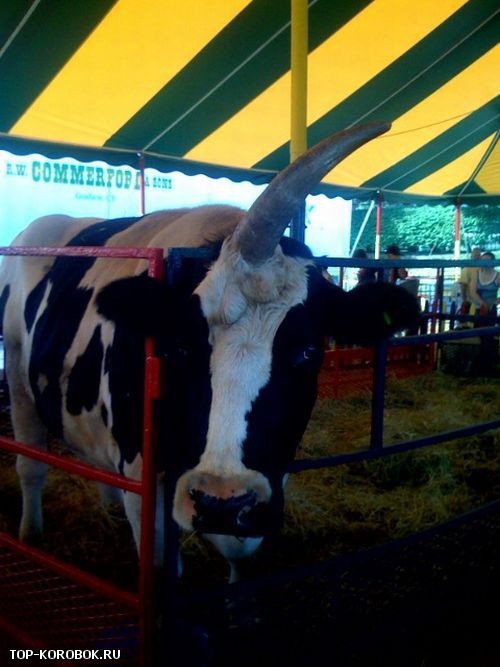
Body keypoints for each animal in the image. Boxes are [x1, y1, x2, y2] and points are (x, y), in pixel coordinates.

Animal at [0, 123, 418, 582]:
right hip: (17, 375)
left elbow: (240, 551)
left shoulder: (269, 477)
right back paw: (31, 534)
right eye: (180, 346)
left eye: (309, 351)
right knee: (30, 465)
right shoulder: (145, 480)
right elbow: (160, 564)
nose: (221, 500)